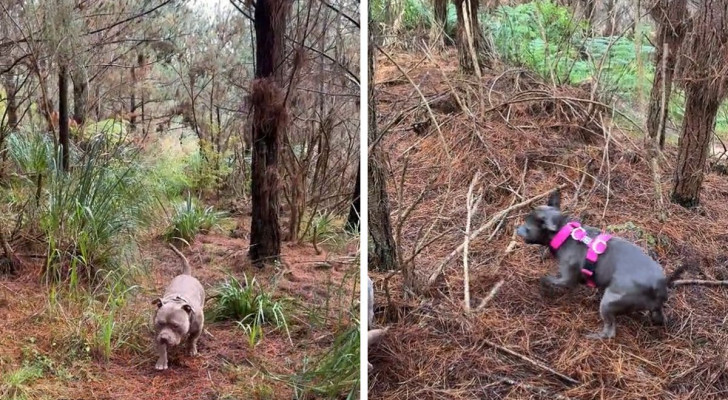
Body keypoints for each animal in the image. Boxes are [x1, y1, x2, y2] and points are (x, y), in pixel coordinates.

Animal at [151, 244, 205, 372]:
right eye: (160, 323)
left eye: (175, 326)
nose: (164, 338)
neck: (176, 302)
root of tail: (186, 274)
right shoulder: (158, 333)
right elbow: (161, 348)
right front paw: (161, 362)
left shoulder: (198, 327)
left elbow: (192, 339)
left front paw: (191, 349)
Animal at [516, 190, 684, 338]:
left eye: (527, 227)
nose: (517, 229)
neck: (564, 234)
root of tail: (661, 282)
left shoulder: (566, 279)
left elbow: (546, 279)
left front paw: (543, 290)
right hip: (653, 309)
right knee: (658, 318)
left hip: (609, 302)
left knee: (610, 331)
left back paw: (593, 336)